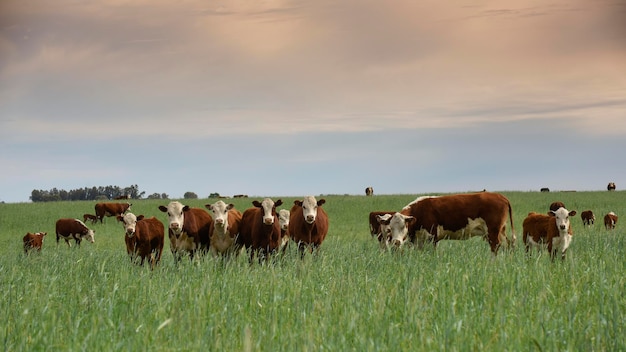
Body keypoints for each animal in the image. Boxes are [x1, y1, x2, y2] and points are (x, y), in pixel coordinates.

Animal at [382, 192, 516, 253]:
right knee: (507, 245)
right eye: (390, 228)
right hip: (500, 230)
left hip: (493, 230)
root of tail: (500, 196)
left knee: (495, 246)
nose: (396, 242)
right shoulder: (420, 240)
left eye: (404, 226)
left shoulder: (432, 236)